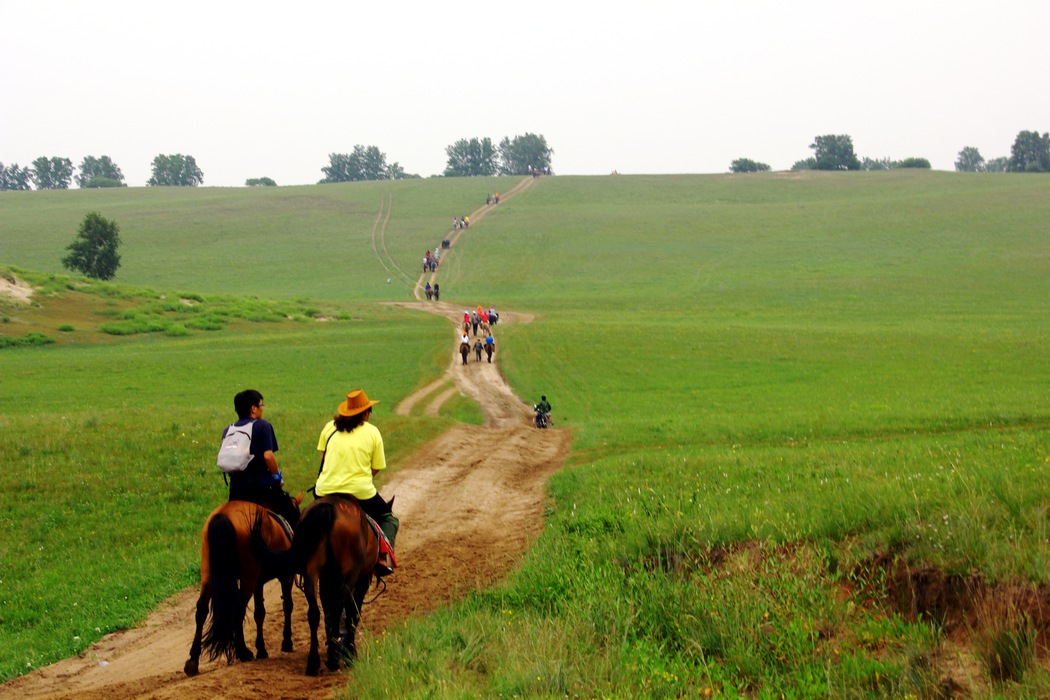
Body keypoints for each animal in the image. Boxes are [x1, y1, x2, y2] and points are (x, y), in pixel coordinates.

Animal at [181, 495, 300, 675]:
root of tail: (223, 515)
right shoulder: (285, 576)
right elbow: (287, 605)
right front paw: (286, 643)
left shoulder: (259, 582)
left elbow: (260, 613)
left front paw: (261, 649)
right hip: (247, 578)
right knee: (238, 609)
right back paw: (243, 651)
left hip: (208, 574)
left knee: (202, 610)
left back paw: (193, 660)